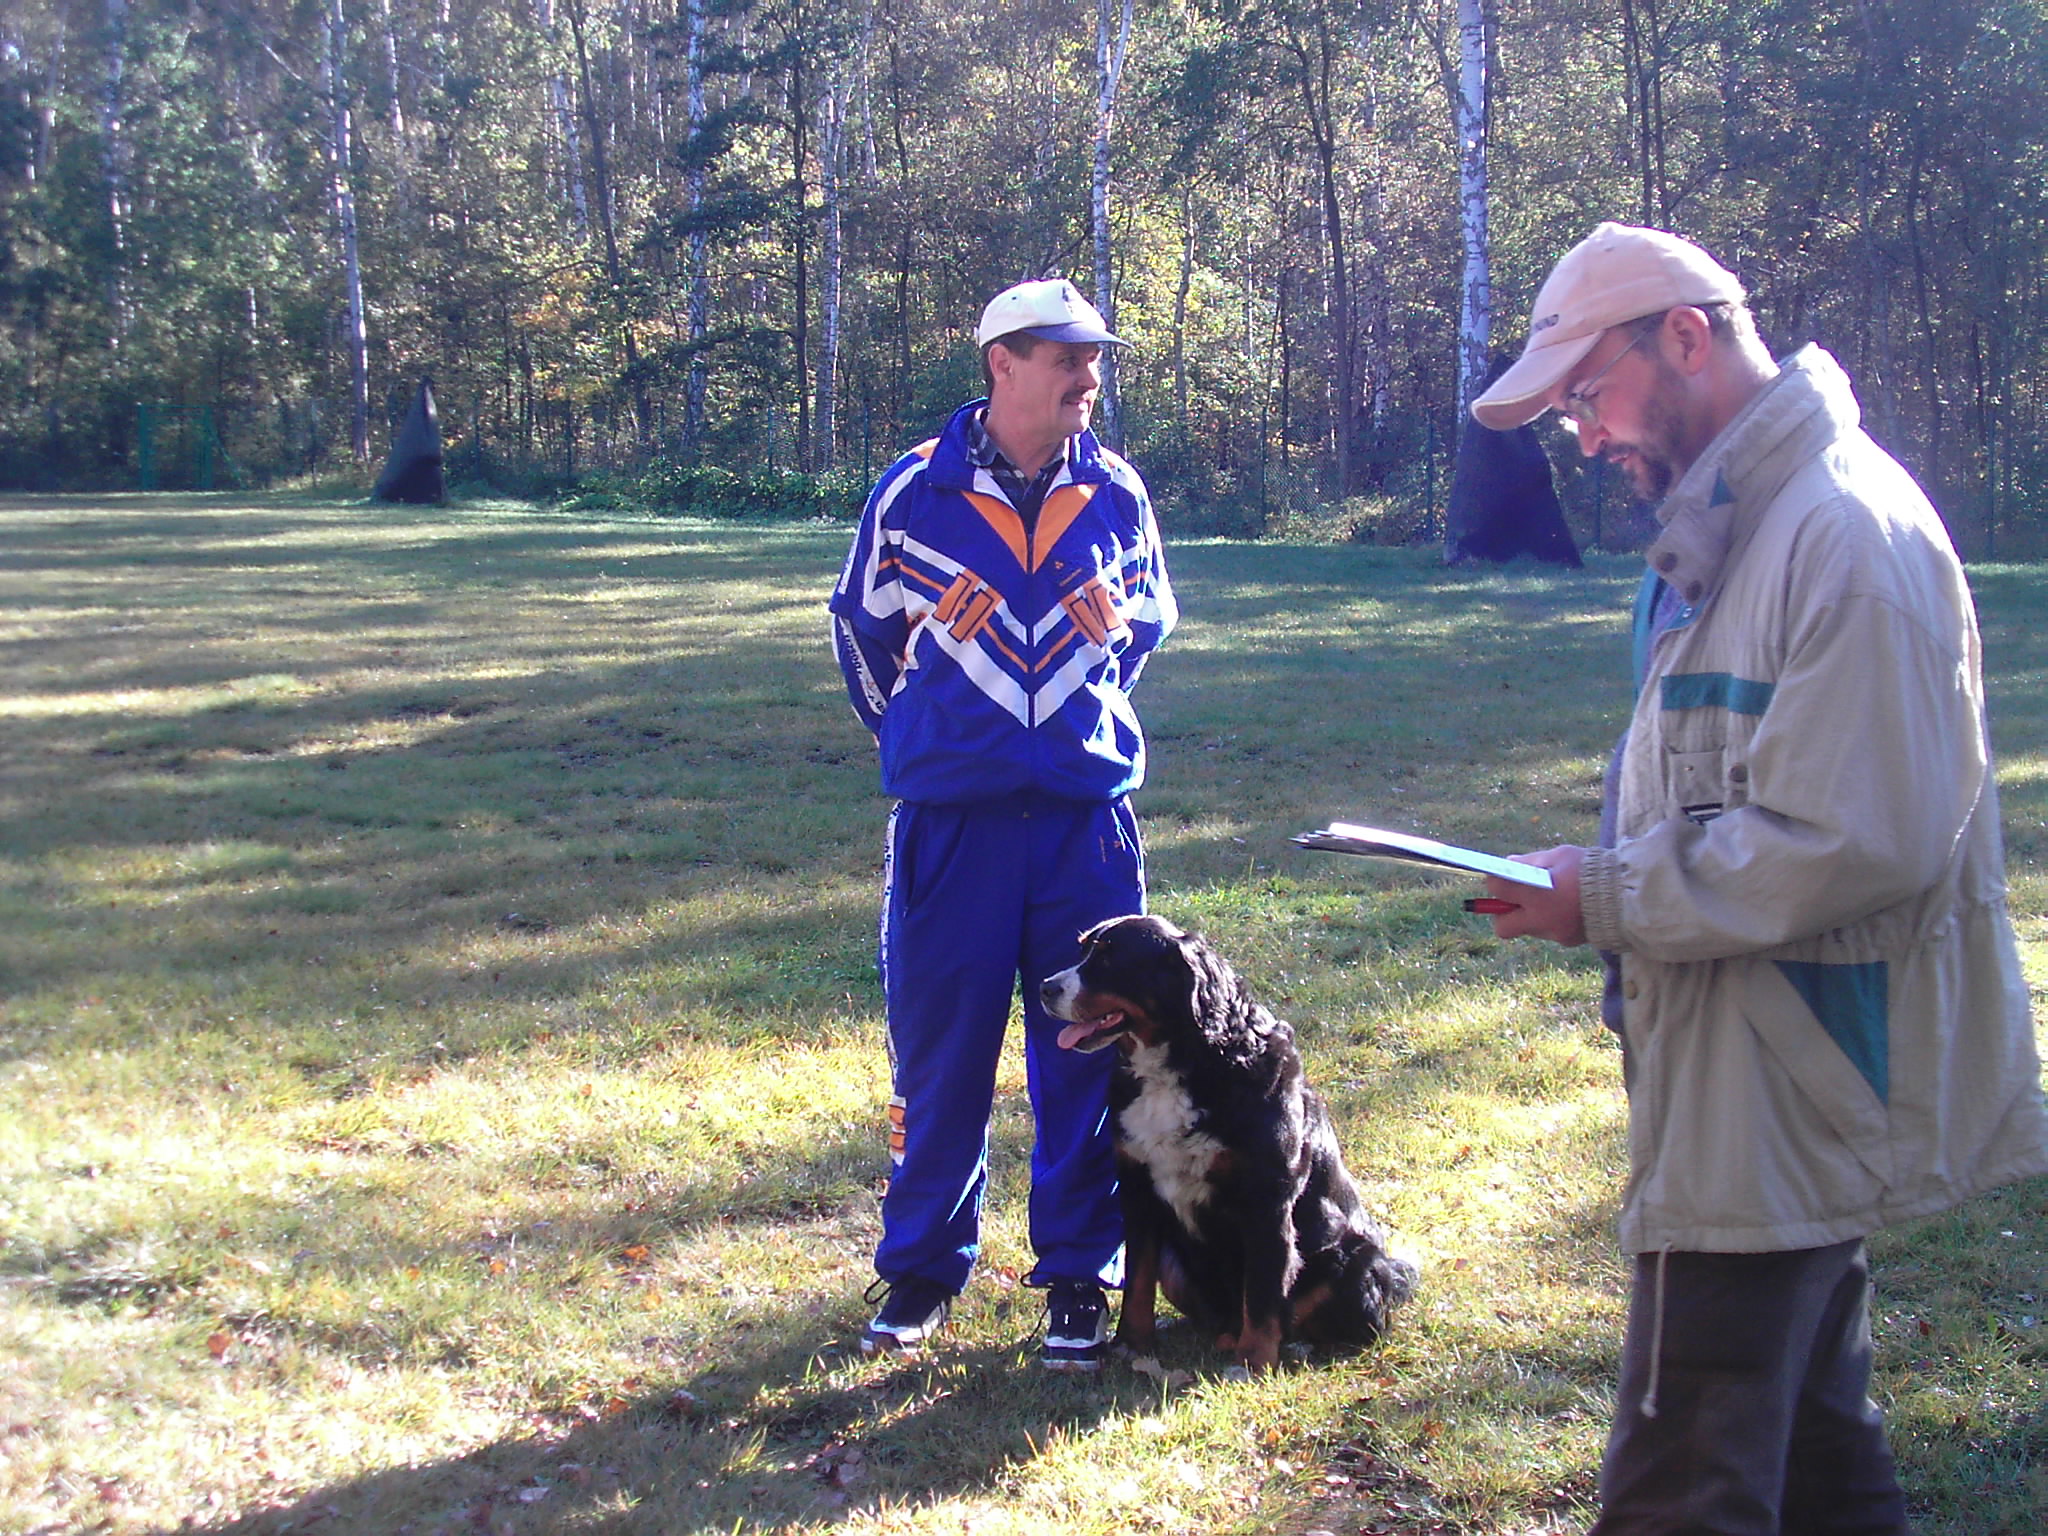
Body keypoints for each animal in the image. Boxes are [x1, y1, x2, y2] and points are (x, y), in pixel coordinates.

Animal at [1040, 914, 1415, 1372]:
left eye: (1110, 958)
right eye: (1083, 950)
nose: (1045, 987)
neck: (1184, 1063)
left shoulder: (1267, 1200)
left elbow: (1263, 1292)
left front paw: (1253, 1362)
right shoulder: (1138, 1188)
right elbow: (1139, 1278)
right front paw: (1133, 1342)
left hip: (1353, 1262)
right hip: (1176, 1263)